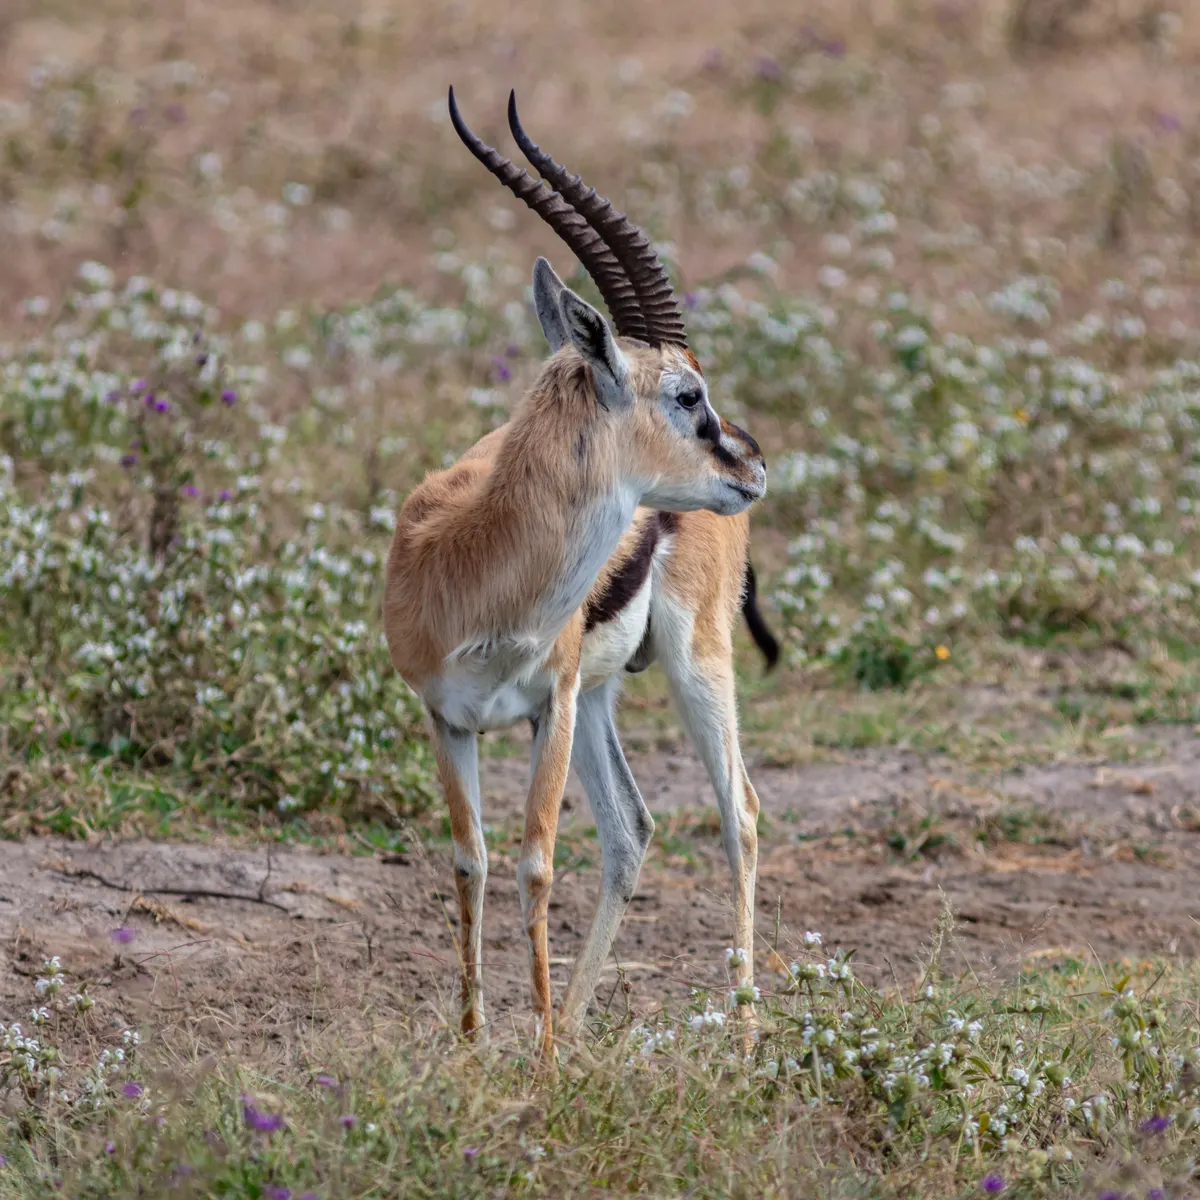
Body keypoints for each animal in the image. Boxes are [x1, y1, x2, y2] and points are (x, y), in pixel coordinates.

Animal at [383, 88, 779, 1059]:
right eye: (686, 394)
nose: (752, 463)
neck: (481, 568)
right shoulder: (445, 718)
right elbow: (471, 860)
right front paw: (479, 1042)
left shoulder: (549, 704)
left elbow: (535, 861)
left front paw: (546, 1060)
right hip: (604, 694)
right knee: (632, 829)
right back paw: (580, 1016)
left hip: (694, 664)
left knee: (740, 810)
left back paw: (744, 1033)